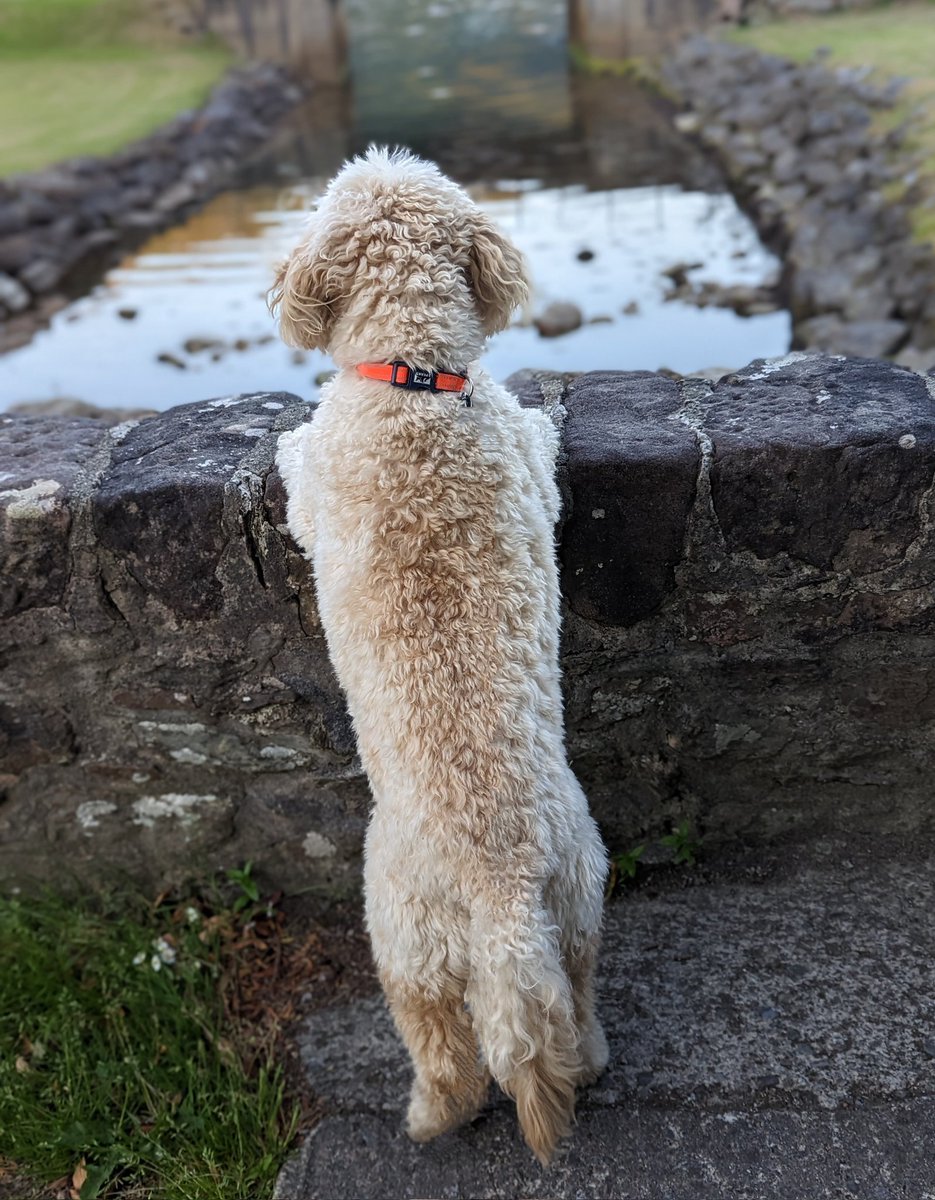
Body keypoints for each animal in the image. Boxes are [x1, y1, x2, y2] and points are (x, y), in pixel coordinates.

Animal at [270, 147, 609, 1161]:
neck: (415, 376)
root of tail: (499, 901)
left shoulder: (316, 494)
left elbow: (296, 465)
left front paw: (280, 437)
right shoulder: (529, 467)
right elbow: (541, 443)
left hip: (401, 934)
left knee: (447, 1050)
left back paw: (429, 1117)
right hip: (578, 900)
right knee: (573, 1006)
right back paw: (591, 1059)